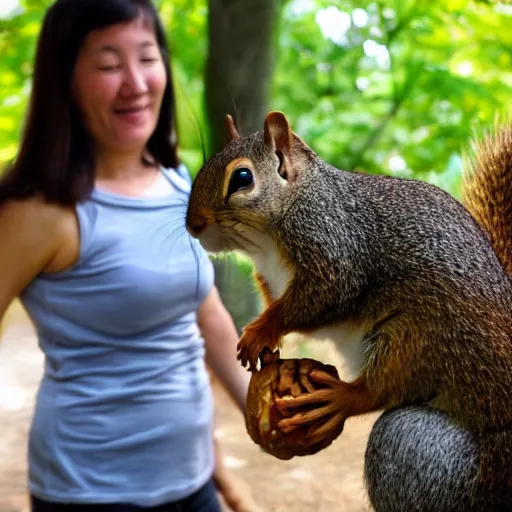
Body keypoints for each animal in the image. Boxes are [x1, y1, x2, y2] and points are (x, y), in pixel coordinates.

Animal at [186, 111, 512, 508]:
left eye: (243, 178)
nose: (193, 224)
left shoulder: (336, 250)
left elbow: (319, 299)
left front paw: (261, 331)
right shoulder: (271, 279)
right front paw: (265, 345)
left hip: (422, 337)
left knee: (382, 388)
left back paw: (340, 398)